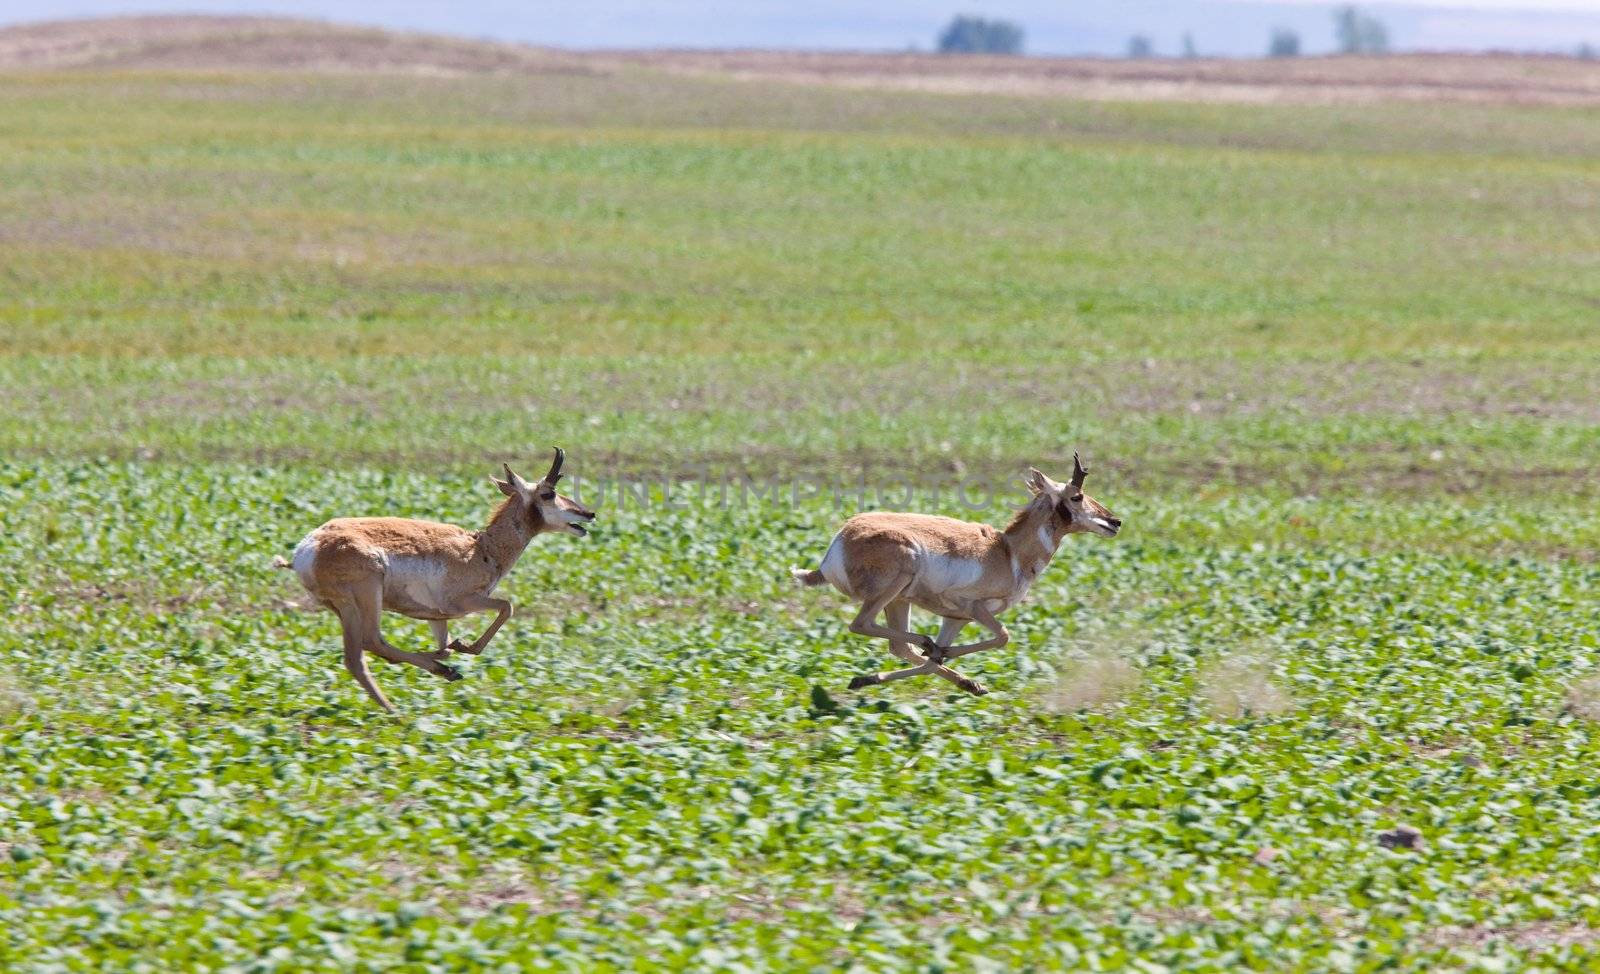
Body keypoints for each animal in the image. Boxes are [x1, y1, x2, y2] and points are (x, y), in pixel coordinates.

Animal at [281, 447, 595, 706]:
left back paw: (402, 702)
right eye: (548, 493)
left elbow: (445, 643)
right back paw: (422, 687)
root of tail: (306, 549)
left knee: (355, 658)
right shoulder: (464, 603)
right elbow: (507, 607)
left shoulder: (437, 618)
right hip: (367, 595)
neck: (481, 548)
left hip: (345, 608)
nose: (589, 514)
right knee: (371, 641)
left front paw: (453, 649)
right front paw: (464, 647)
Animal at [793, 451, 1120, 694]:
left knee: (897, 645)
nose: (1115, 522)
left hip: (899, 600)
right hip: (897, 581)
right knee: (861, 624)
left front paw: (967, 679)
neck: (1008, 552)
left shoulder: (956, 618)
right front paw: (943, 654)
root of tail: (839, 542)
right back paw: (925, 642)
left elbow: (932, 663)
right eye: (1077, 496)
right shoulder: (973, 607)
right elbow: (1003, 636)